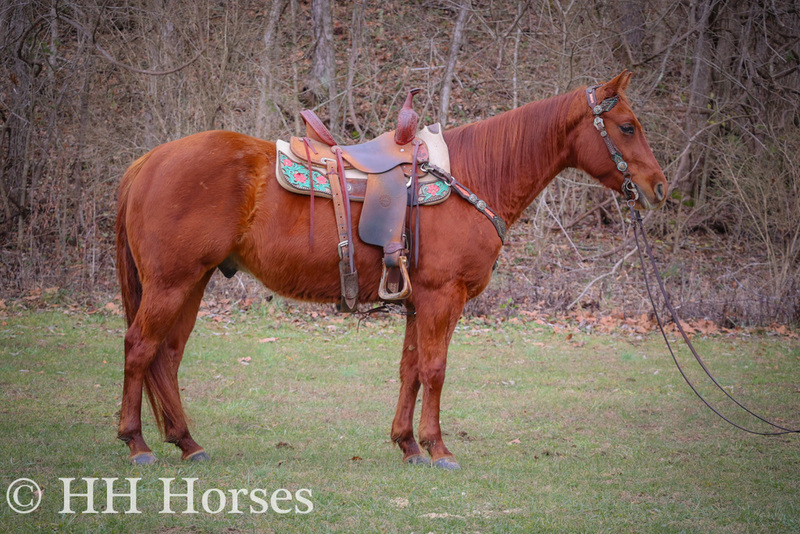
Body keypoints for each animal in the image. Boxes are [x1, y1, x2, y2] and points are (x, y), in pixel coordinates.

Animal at [115, 71, 664, 468]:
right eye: (628, 126)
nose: (657, 187)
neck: (471, 175)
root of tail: (148, 162)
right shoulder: (443, 297)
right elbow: (436, 369)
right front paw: (439, 449)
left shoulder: (417, 302)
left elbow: (411, 370)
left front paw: (408, 445)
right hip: (171, 283)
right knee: (140, 347)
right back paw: (137, 443)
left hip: (193, 282)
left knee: (166, 355)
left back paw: (187, 443)